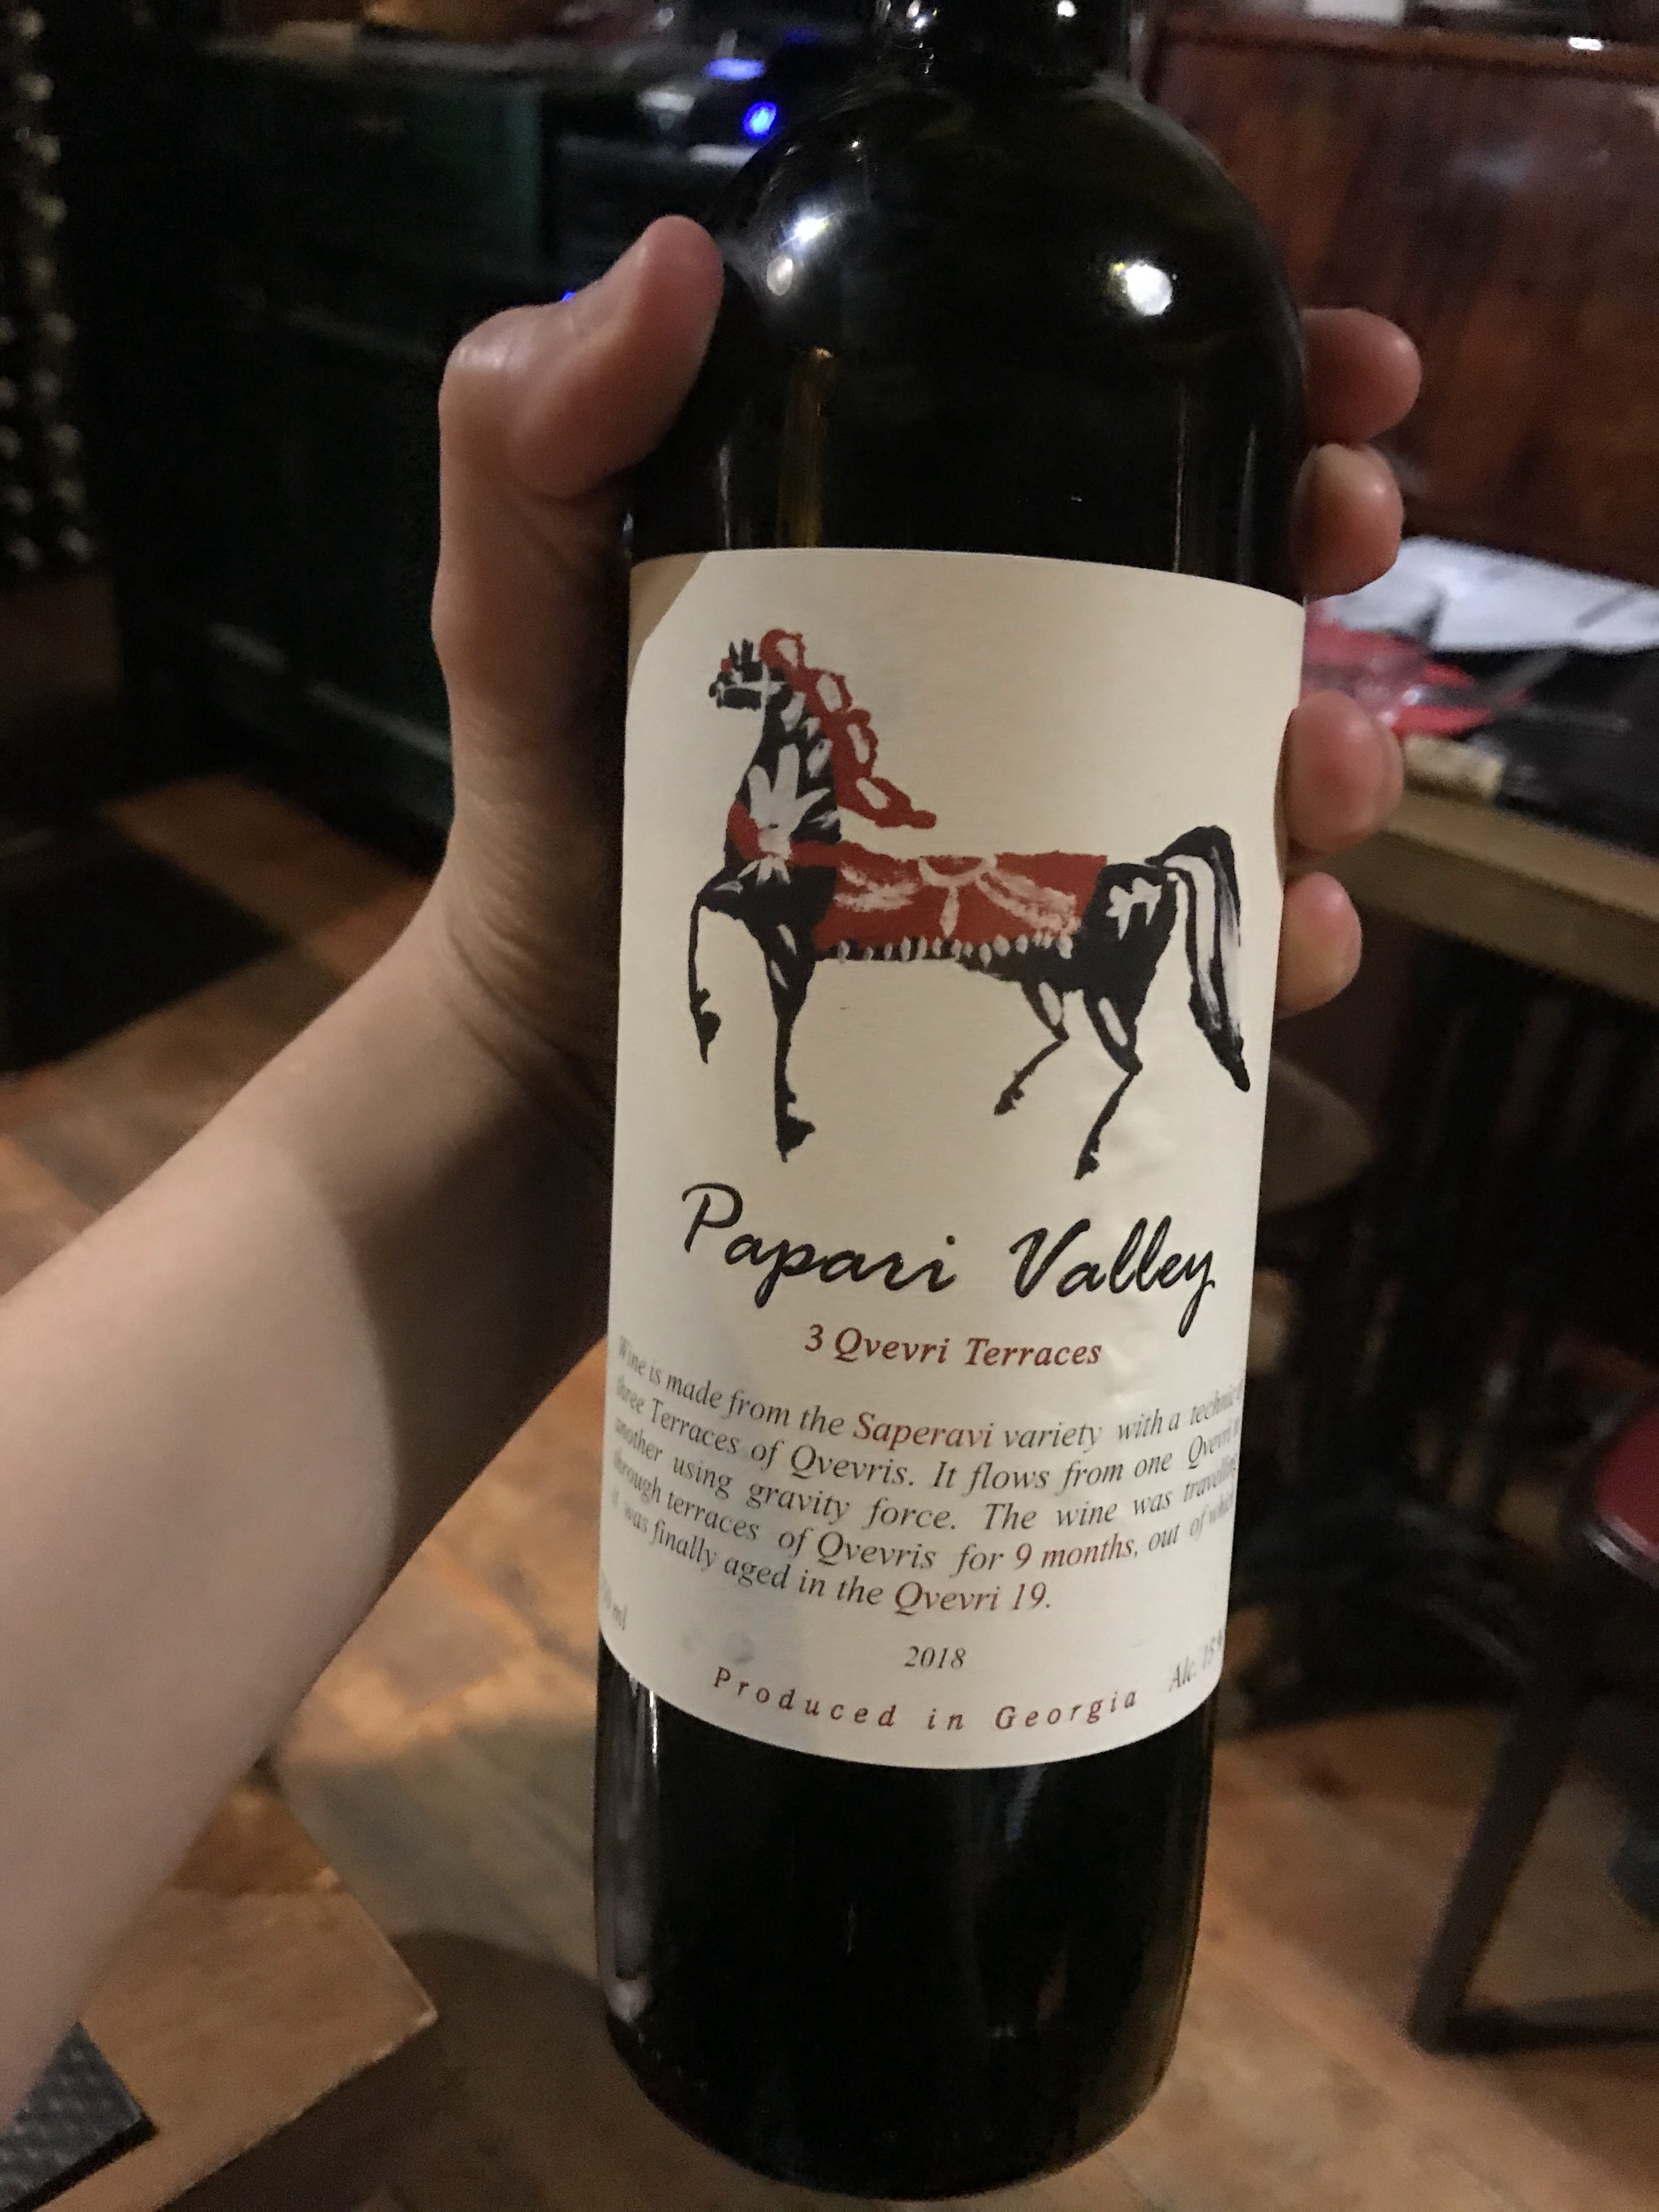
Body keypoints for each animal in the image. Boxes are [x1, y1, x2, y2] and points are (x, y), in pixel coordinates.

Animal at [686, 629, 1250, 1179]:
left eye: (741, 670)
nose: (712, 691)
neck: (790, 831)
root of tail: (1155, 867)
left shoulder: (787, 942)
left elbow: (775, 1021)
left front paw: (779, 1117)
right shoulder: (757, 919)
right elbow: (700, 912)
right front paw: (713, 1029)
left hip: (1111, 993)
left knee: (1130, 1065)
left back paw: (1085, 1152)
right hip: (1045, 980)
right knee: (1068, 1038)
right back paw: (1011, 1095)